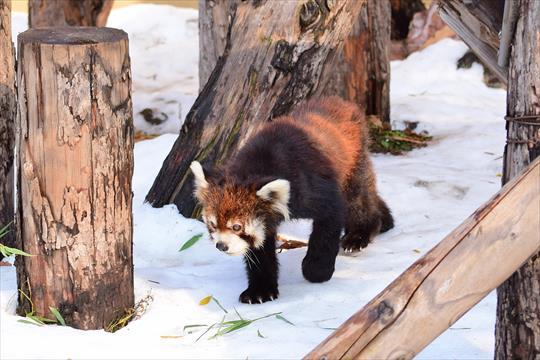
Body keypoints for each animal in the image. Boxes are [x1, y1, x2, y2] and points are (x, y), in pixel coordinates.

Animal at [190, 96, 392, 304]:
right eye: (212, 224)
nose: (221, 246)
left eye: (237, 227)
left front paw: (317, 270)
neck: (257, 167)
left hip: (353, 163)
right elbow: (261, 249)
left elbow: (329, 221)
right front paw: (261, 290)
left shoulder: (313, 186)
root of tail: (341, 102)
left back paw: (360, 234)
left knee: (357, 200)